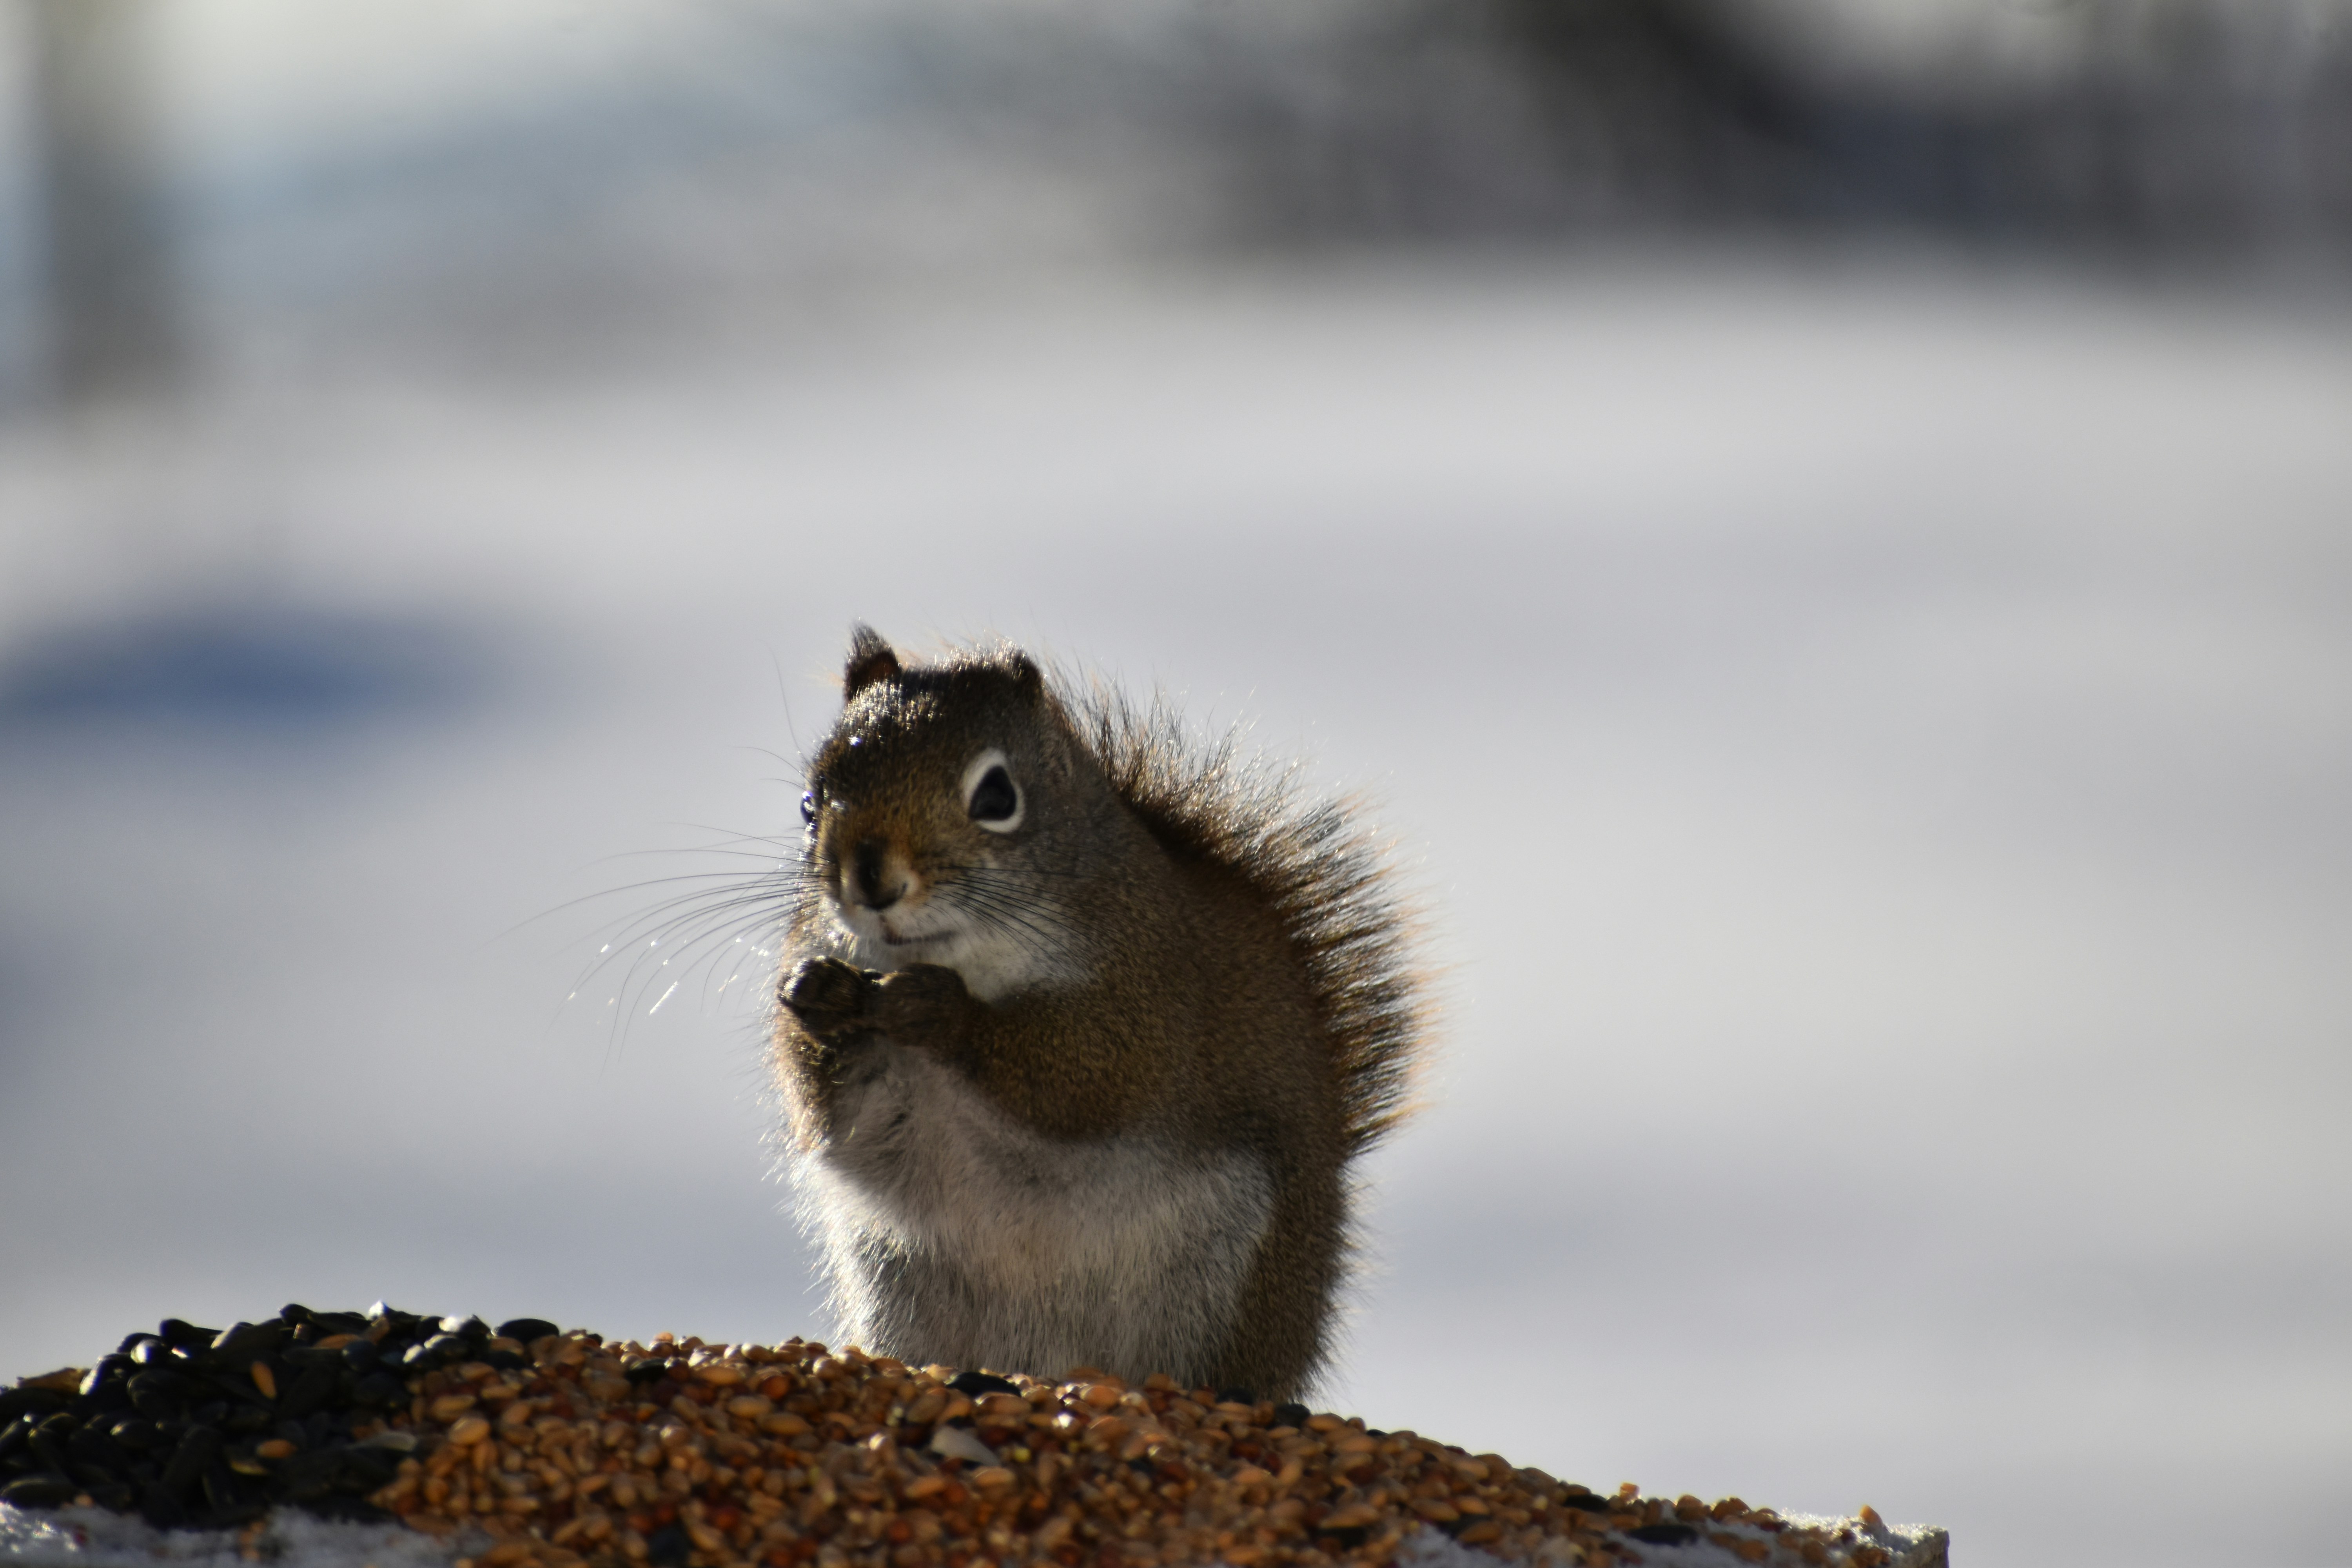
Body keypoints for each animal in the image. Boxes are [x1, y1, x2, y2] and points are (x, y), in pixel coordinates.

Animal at [771, 627, 1425, 1400]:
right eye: (810, 802)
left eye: (998, 795)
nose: (871, 880)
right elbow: (827, 1110)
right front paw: (818, 998)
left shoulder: (1152, 996)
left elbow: (1082, 1079)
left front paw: (937, 1009)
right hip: (897, 1281)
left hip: (1222, 1283)